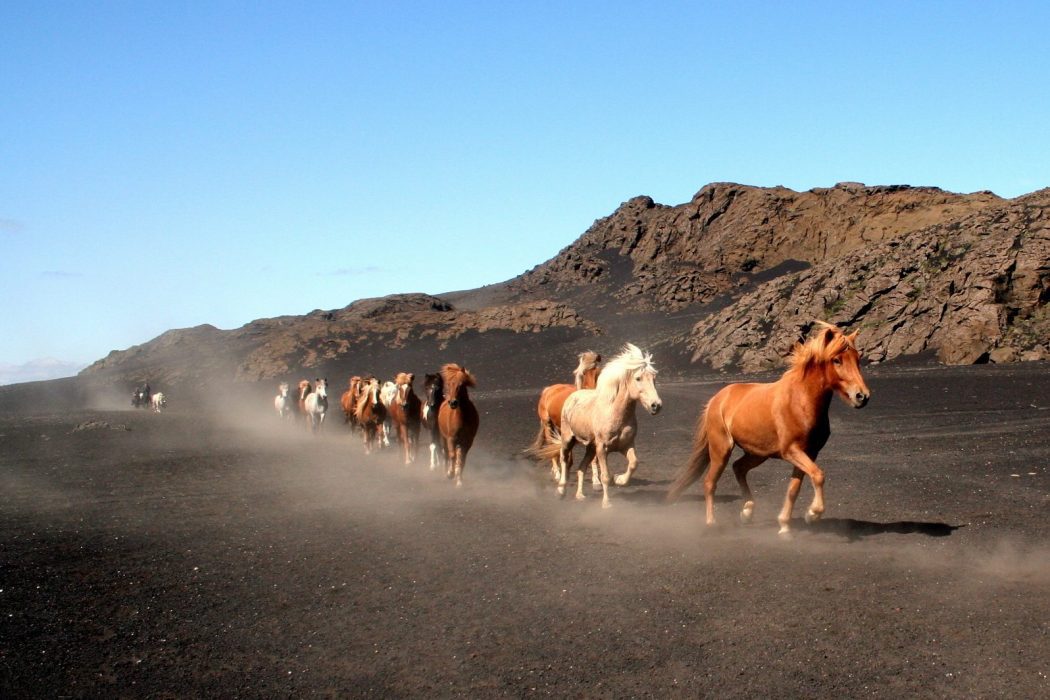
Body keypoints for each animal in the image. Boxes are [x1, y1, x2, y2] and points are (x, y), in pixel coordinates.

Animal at [537, 344, 659, 510]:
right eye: (638, 378)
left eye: (654, 378)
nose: (656, 405)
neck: (615, 413)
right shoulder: (602, 449)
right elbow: (605, 476)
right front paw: (606, 503)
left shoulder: (626, 445)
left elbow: (634, 463)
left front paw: (619, 479)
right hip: (567, 439)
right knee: (563, 459)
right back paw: (561, 490)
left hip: (590, 447)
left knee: (581, 467)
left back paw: (580, 495)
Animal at [667, 323, 873, 537]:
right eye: (836, 360)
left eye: (857, 359)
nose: (862, 396)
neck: (800, 402)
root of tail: (717, 399)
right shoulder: (791, 451)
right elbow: (818, 475)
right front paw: (812, 514)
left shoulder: (809, 453)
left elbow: (794, 489)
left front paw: (784, 526)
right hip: (721, 449)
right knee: (710, 482)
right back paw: (711, 523)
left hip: (758, 453)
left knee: (738, 468)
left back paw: (747, 511)